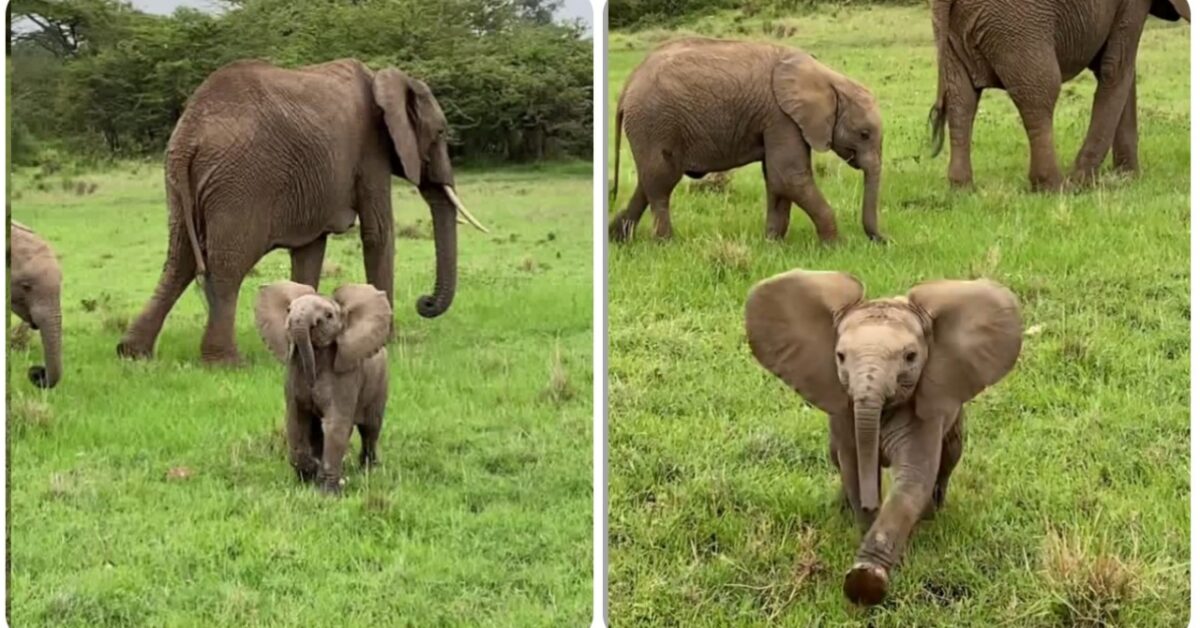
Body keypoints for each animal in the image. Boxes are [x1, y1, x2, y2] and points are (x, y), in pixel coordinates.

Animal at [116, 58, 486, 365]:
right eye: (440, 132)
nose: (425, 303)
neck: (384, 78)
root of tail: (190, 132)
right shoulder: (371, 151)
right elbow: (378, 234)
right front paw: (384, 341)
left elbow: (310, 251)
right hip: (240, 184)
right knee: (226, 266)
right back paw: (226, 363)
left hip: (179, 183)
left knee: (178, 261)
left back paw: (133, 353)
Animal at [254, 280, 391, 494]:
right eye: (288, 310)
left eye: (328, 316)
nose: (311, 385)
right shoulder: (292, 374)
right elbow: (297, 419)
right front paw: (308, 475)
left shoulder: (346, 376)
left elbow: (335, 424)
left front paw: (327, 492)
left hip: (379, 384)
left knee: (370, 429)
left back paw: (368, 471)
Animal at [608, 37, 885, 244]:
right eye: (864, 134)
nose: (883, 241)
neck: (828, 78)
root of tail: (629, 83)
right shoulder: (781, 117)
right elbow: (788, 176)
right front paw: (835, 246)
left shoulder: (778, 120)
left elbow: (776, 180)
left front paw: (772, 244)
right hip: (655, 122)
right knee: (661, 181)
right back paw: (666, 243)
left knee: (650, 181)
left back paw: (618, 238)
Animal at [744, 270, 1022, 605]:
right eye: (840, 356)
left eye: (911, 356)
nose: (869, 505)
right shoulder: (844, 412)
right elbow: (853, 468)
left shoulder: (926, 410)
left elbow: (913, 477)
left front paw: (866, 578)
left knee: (950, 457)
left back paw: (932, 514)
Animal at [929, 0, 1191, 191]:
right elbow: (1116, 66)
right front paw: (1084, 183)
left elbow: (1118, 68)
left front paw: (1127, 178)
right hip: (1018, 25)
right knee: (1040, 91)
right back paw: (1055, 187)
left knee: (961, 99)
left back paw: (962, 188)